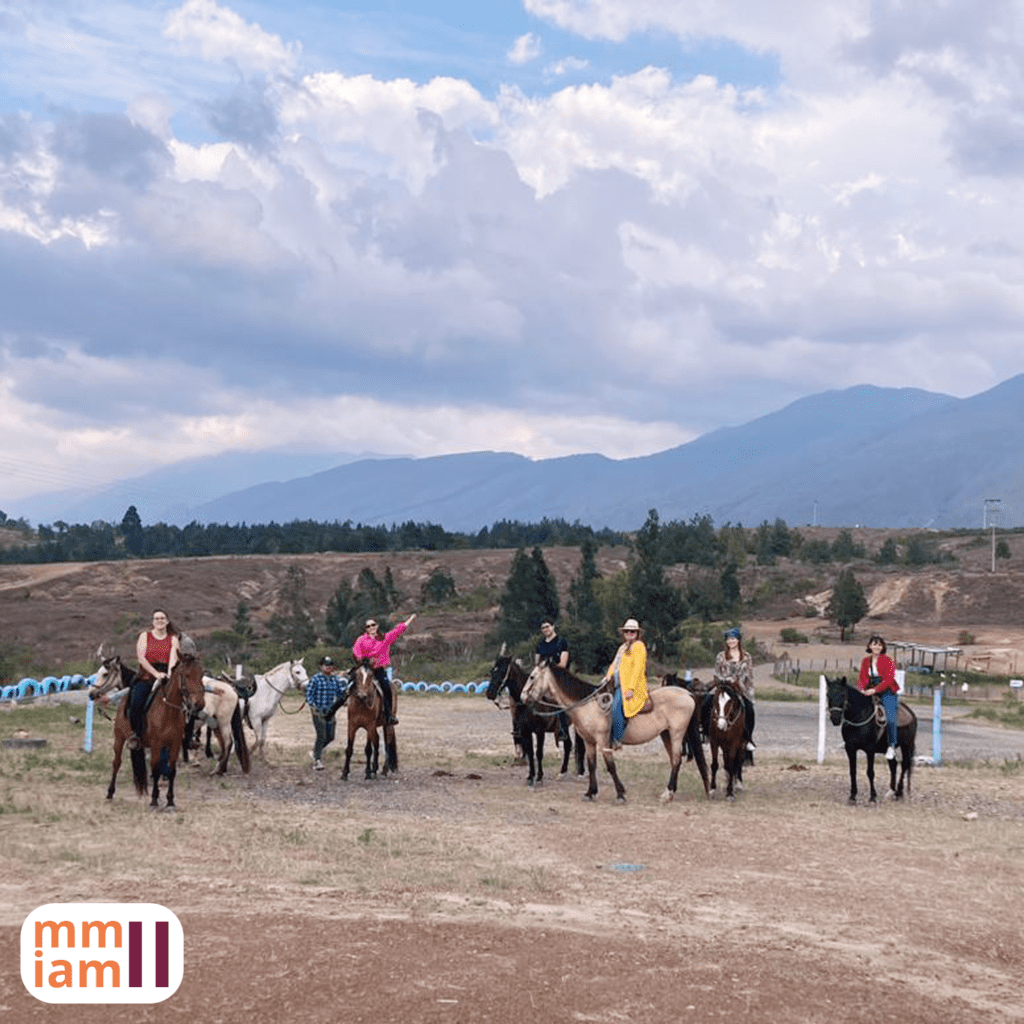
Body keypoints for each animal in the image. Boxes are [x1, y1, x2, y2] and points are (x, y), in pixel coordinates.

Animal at [96, 655, 205, 806]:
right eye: (187, 675)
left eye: (201, 675)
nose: (199, 704)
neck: (168, 710)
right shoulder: (156, 744)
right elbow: (156, 768)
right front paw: (154, 799)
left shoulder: (175, 744)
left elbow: (171, 770)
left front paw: (170, 800)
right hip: (119, 737)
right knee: (116, 763)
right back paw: (110, 793)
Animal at [483, 647, 581, 782]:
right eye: (493, 670)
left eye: (503, 671)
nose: (490, 693)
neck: (528, 703)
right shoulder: (525, 731)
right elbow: (529, 752)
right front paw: (530, 776)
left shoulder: (540, 731)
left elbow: (538, 753)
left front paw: (539, 776)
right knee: (568, 745)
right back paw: (563, 772)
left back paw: (575, 772)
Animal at [524, 663, 708, 806]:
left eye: (532, 677)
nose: (522, 696)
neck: (588, 705)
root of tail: (687, 693)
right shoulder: (589, 742)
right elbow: (592, 765)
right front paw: (590, 793)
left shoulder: (603, 741)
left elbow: (610, 766)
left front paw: (620, 794)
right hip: (666, 735)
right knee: (673, 761)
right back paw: (670, 791)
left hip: (677, 734)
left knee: (676, 760)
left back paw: (667, 794)